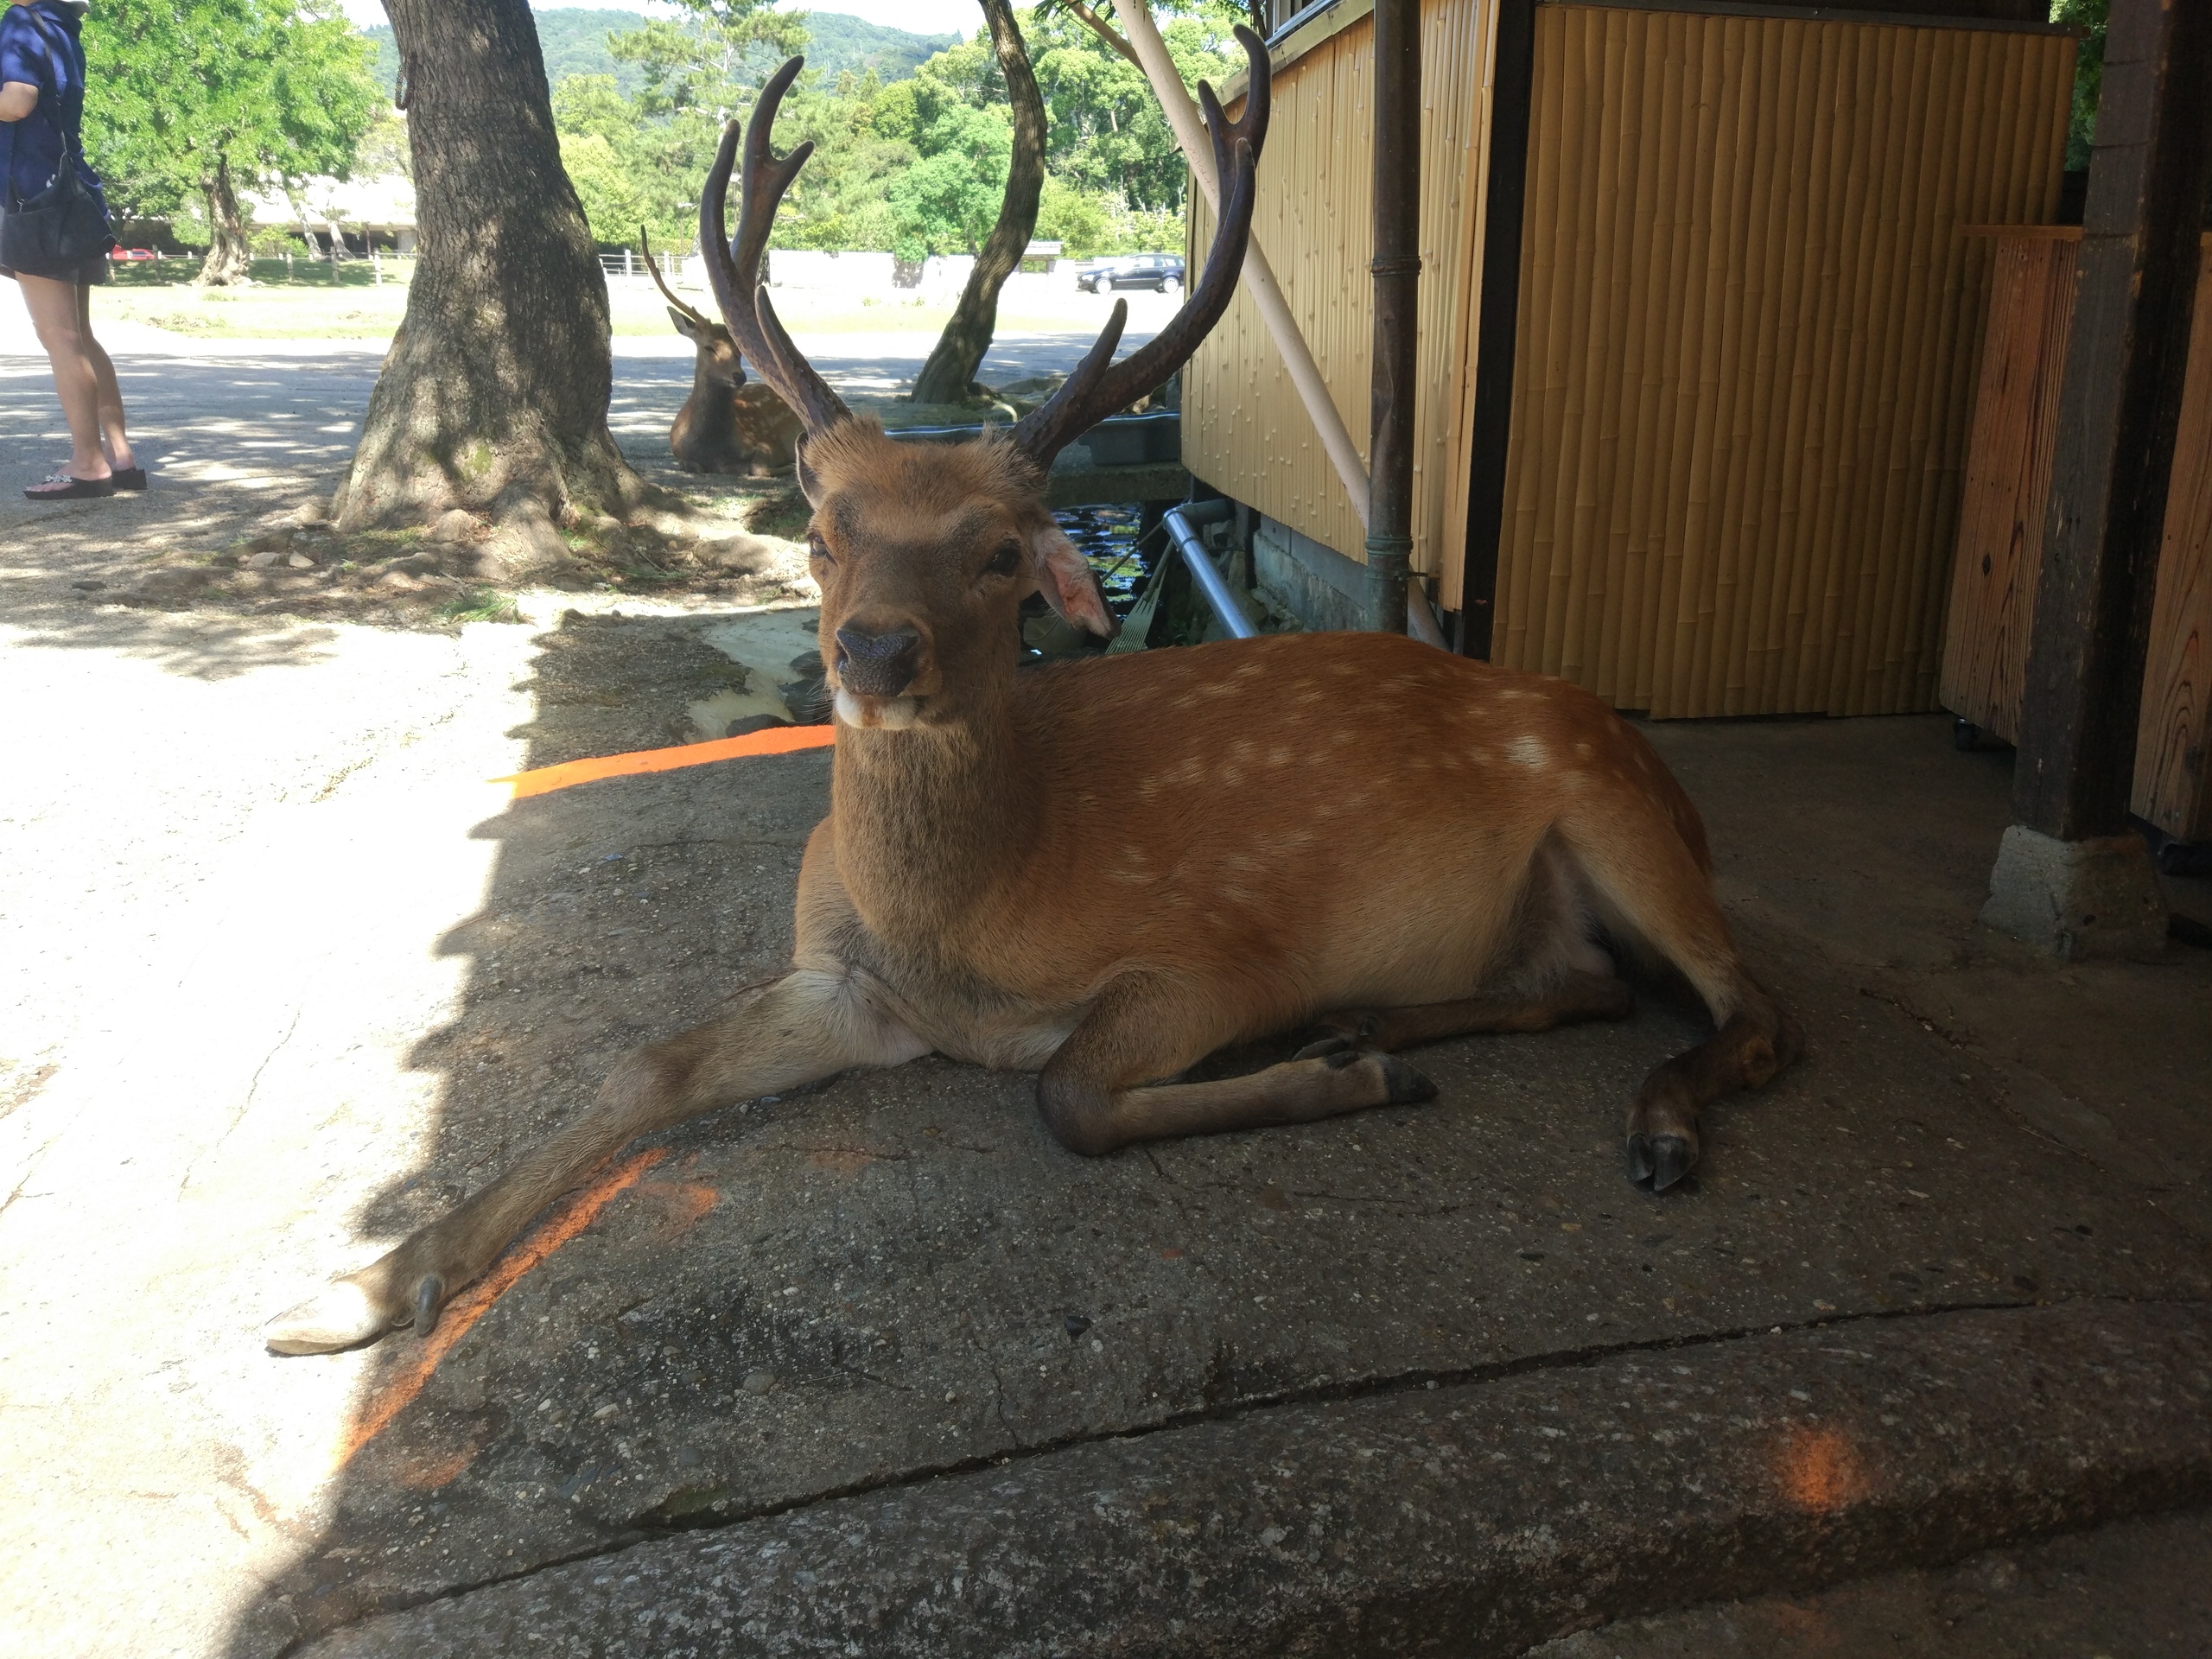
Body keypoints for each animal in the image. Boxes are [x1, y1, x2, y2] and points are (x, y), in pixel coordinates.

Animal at [641, 231, 804, 473]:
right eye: (709, 347)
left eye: (740, 349)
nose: (739, 376)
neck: (712, 445)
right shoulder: (681, 455)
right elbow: (695, 465)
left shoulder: (768, 442)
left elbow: (756, 467)